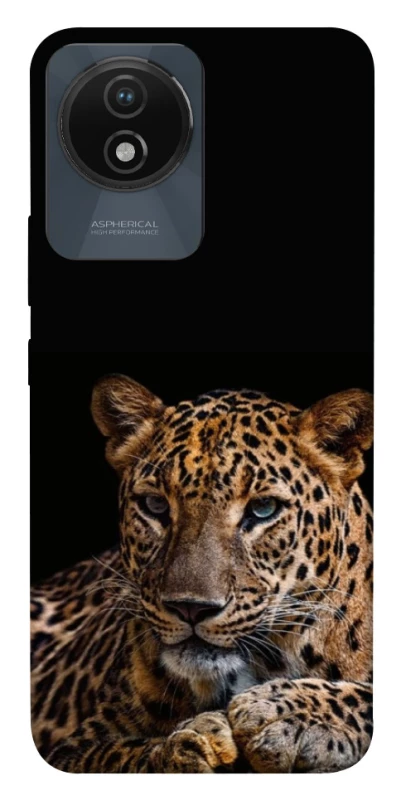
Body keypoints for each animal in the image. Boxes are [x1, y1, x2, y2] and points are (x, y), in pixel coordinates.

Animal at [31, 374, 373, 773]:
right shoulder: (74, 748)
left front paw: (284, 713)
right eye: (155, 505)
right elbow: (125, 756)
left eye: (263, 508)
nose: (191, 608)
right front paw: (191, 745)